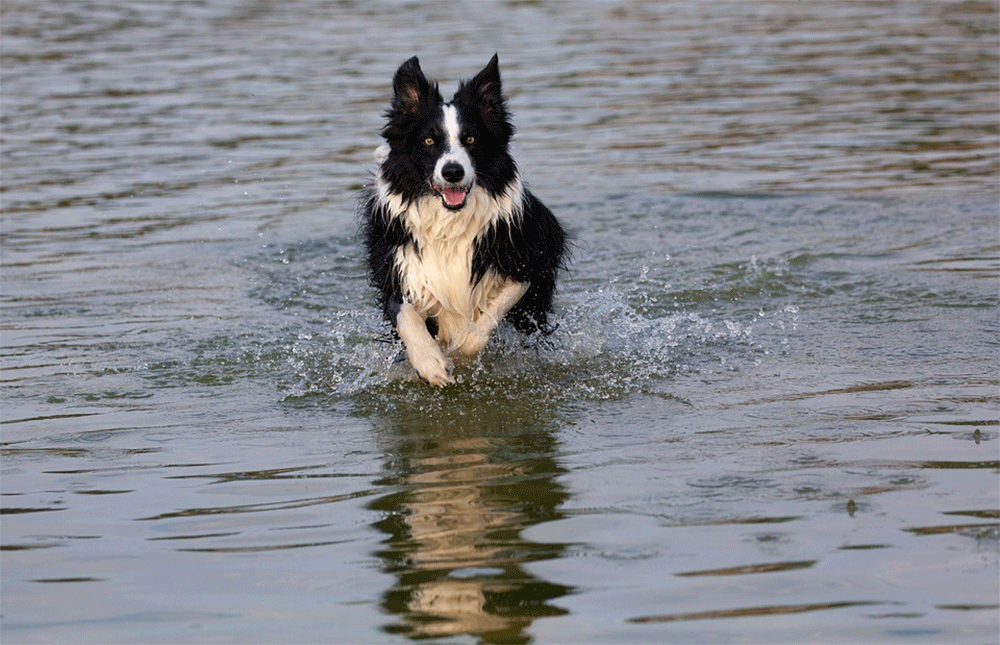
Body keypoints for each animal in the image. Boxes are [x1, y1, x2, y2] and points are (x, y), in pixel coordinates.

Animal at [360, 55, 568, 384]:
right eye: (428, 141)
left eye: (470, 138)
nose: (452, 172)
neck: (450, 223)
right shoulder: (396, 265)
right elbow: (404, 313)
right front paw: (430, 362)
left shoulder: (535, 257)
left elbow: (486, 319)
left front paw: (460, 353)